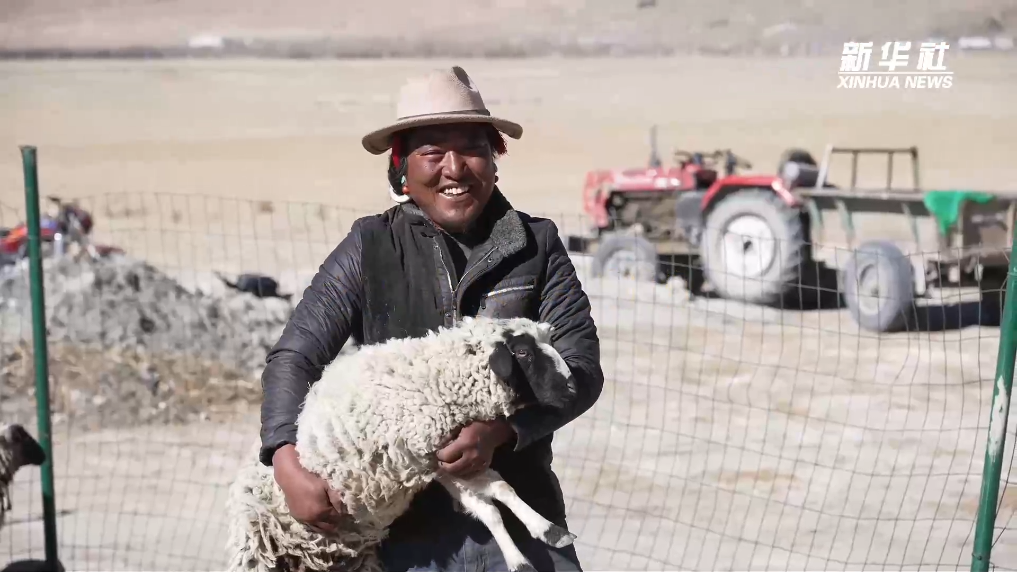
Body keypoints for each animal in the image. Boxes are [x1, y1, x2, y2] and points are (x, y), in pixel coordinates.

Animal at [226, 315, 580, 572]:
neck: (436, 378)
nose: (573, 388)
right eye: (522, 352)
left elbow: (499, 493)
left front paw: (549, 533)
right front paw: (524, 557)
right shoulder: (433, 456)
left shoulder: (448, 458)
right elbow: (490, 505)